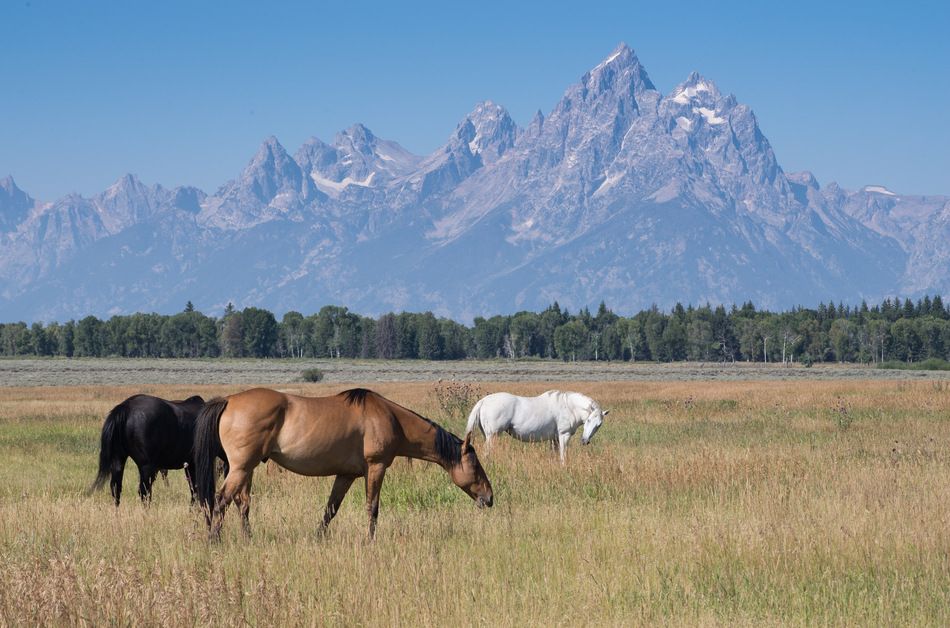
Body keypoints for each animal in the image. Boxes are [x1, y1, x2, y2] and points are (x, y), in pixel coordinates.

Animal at [191, 386, 494, 544]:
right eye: (476, 466)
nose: (489, 498)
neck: (390, 418)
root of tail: (228, 400)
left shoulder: (346, 475)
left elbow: (330, 509)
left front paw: (318, 538)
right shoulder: (376, 468)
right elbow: (373, 508)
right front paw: (370, 540)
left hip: (245, 469)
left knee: (240, 502)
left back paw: (246, 538)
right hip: (241, 467)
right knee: (221, 499)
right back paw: (214, 540)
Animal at [466, 390, 608, 464]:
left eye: (599, 425)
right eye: (588, 420)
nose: (585, 441)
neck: (569, 407)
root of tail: (483, 401)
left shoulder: (555, 438)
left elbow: (555, 453)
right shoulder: (564, 435)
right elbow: (563, 454)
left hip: (488, 436)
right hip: (492, 436)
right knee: (487, 452)